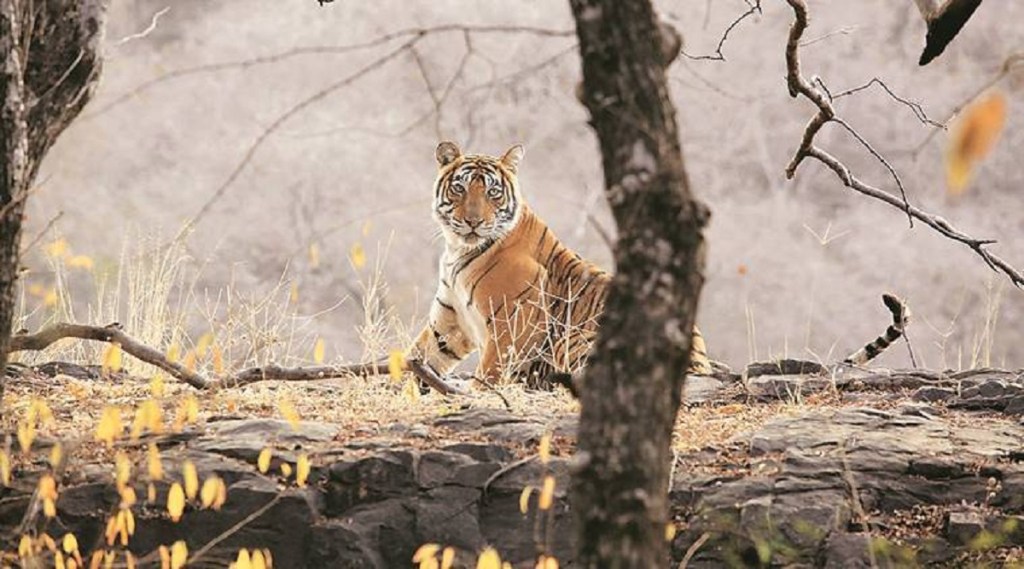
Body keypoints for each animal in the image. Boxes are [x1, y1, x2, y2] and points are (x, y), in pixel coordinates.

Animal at [406, 141, 712, 390]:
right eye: (460, 188)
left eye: (493, 192)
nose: (473, 221)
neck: (458, 249)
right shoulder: (451, 321)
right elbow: (419, 355)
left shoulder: (514, 323)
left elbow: (490, 371)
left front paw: (478, 393)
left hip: (576, 338)